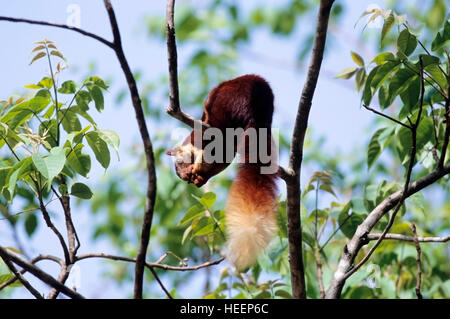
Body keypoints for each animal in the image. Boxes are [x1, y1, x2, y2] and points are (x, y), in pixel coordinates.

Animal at [167, 74, 276, 270]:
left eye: (179, 164)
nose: (186, 177)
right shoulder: (224, 154)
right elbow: (216, 163)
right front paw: (200, 178)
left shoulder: (203, 140)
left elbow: (205, 154)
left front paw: (197, 170)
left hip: (225, 106)